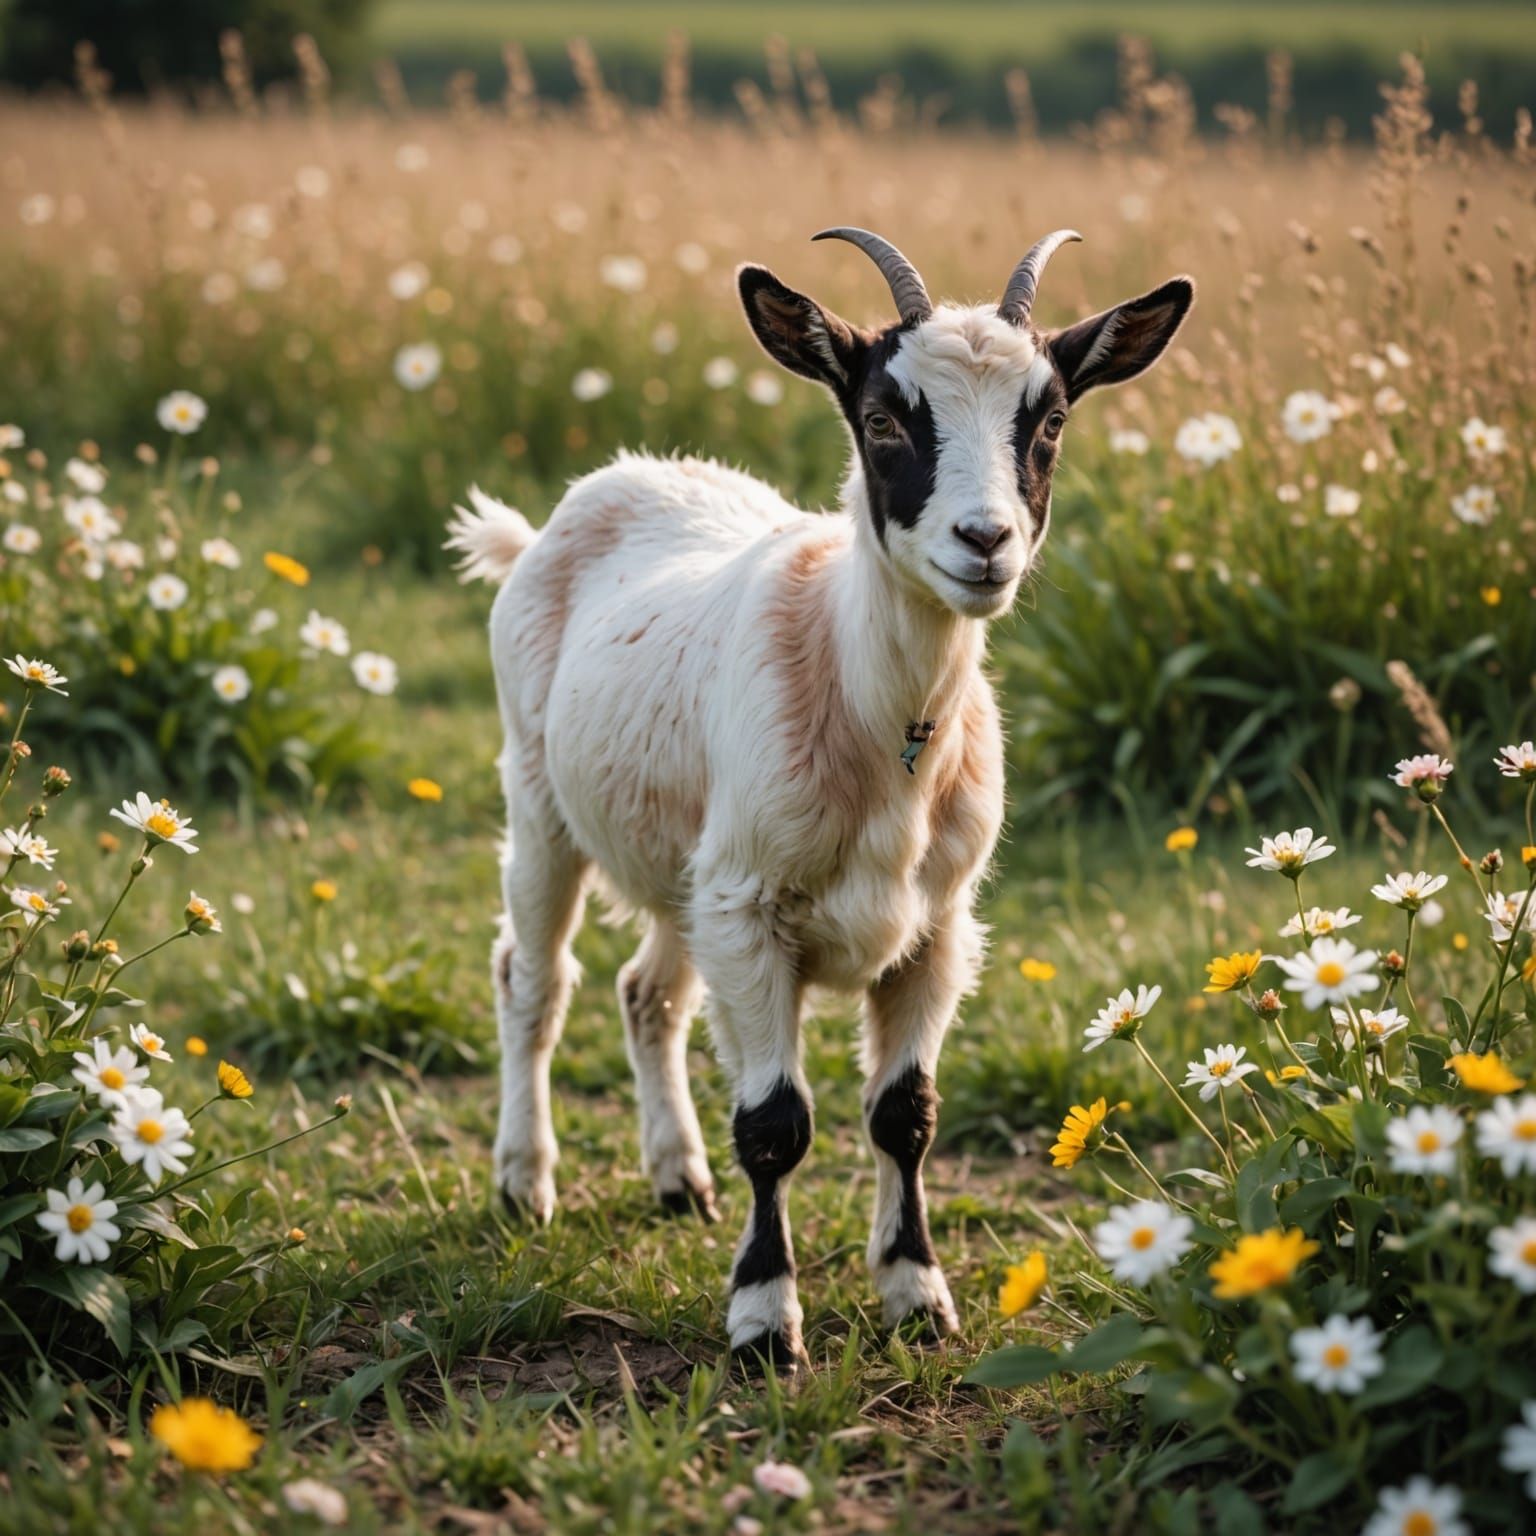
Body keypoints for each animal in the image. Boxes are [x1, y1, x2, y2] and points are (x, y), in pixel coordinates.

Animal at [447, 228, 1192, 1366]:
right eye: (883, 419)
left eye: (1051, 420)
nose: (985, 543)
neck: (886, 736)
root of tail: (583, 500)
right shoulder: (752, 911)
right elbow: (776, 1124)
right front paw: (764, 1321)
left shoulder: (934, 926)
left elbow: (905, 1114)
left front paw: (917, 1296)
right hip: (541, 800)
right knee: (532, 981)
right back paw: (524, 1183)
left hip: (686, 865)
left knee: (647, 992)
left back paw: (677, 1178)